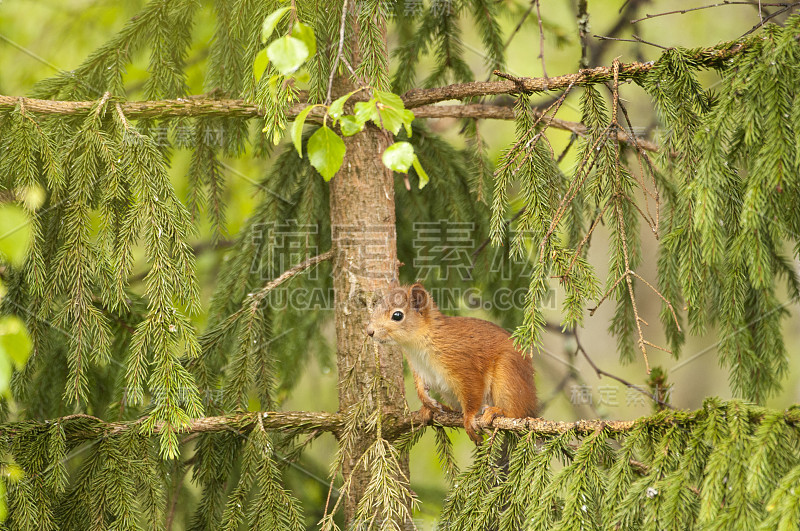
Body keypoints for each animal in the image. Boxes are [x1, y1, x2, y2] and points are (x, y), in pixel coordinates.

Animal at [368, 284, 536, 442]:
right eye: (375, 308)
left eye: (397, 315)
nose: (370, 331)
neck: (418, 346)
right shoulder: (419, 368)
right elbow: (420, 388)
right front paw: (427, 403)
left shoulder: (462, 364)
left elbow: (472, 393)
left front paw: (469, 418)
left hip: (507, 375)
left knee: (517, 413)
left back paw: (498, 411)